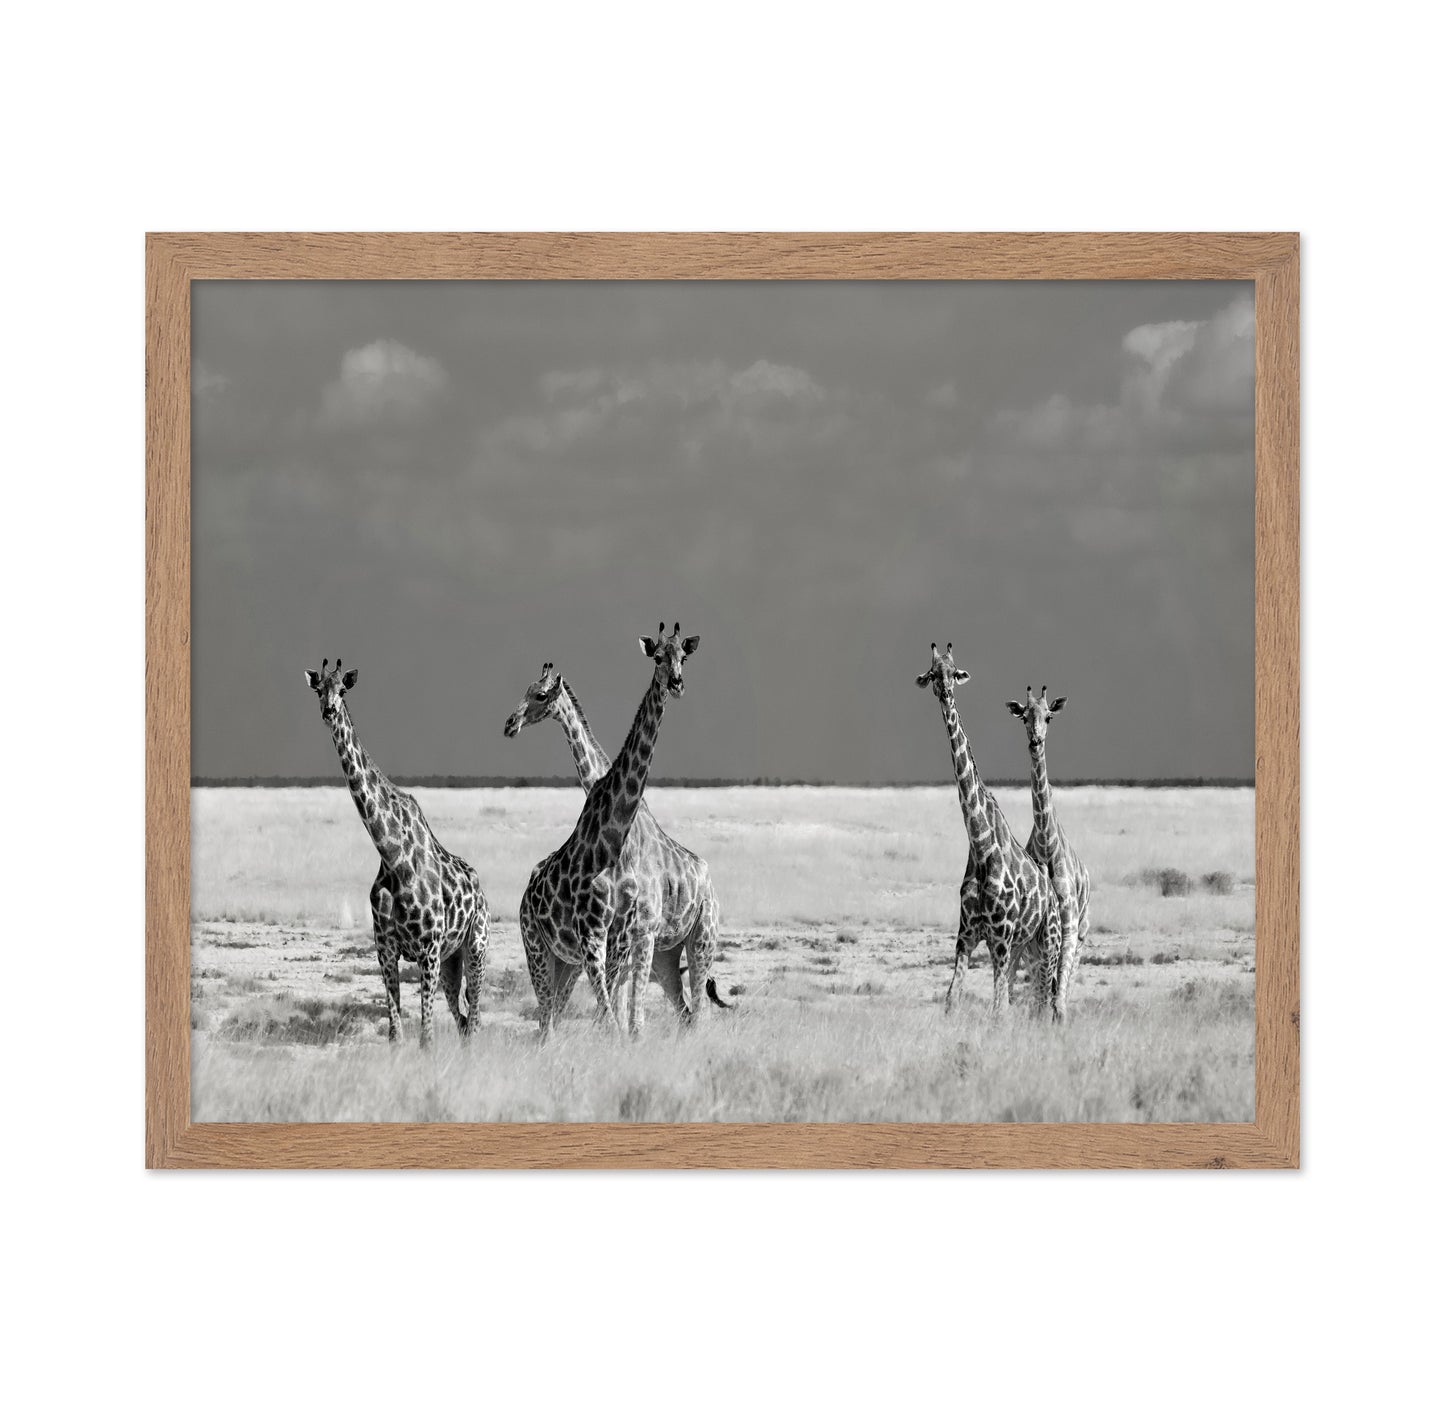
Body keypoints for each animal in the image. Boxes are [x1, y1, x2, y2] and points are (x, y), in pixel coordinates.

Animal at [304, 658, 490, 1046]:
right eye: (318, 690)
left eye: (342, 690)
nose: (329, 711)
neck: (393, 857)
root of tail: (480, 889)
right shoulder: (386, 950)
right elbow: (395, 1033)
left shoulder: (428, 951)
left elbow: (426, 1037)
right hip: (452, 962)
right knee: (464, 1020)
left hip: (475, 947)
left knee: (476, 1018)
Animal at [504, 661, 727, 1023]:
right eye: (527, 690)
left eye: (540, 694)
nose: (511, 724)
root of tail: (708, 876)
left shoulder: (637, 932)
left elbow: (626, 1012)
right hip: (663, 953)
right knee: (681, 1009)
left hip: (700, 934)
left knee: (695, 1008)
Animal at [915, 643, 1062, 1019]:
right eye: (932, 673)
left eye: (955, 672)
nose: (946, 691)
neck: (982, 848)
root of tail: (1054, 895)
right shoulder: (966, 936)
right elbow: (953, 999)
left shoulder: (999, 938)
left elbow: (998, 1011)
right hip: (1023, 945)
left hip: (1048, 941)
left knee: (1048, 998)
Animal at [1007, 684, 1091, 1020]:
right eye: (1023, 717)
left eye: (1049, 717)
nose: (1035, 741)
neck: (1046, 843)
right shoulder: (1034, 937)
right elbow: (1043, 995)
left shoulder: (1068, 929)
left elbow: (1059, 999)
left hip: (1081, 936)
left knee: (1060, 989)